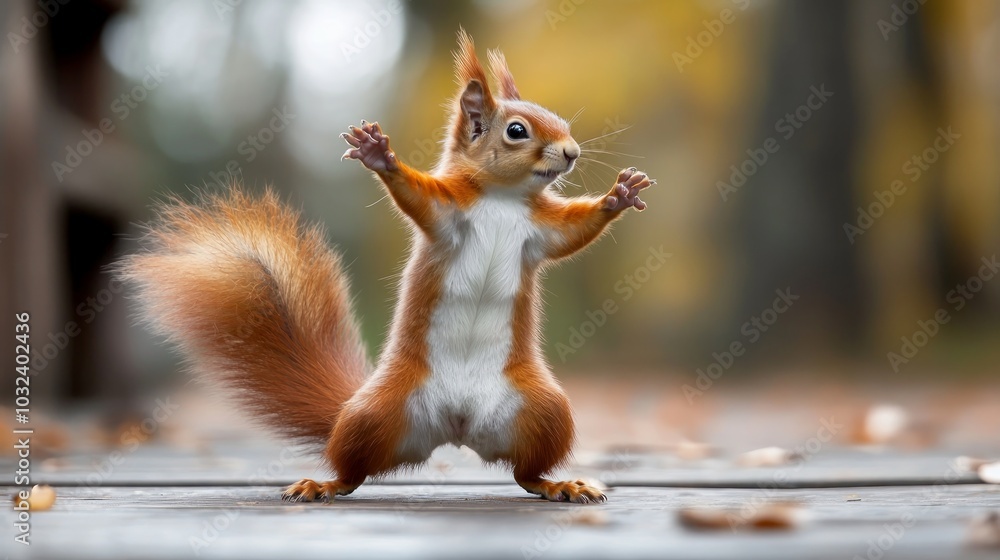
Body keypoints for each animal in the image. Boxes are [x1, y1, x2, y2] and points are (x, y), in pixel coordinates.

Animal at [117, 29, 654, 504]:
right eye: (517, 130)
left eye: (559, 120)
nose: (571, 152)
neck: (502, 199)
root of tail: (458, 427)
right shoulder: (447, 212)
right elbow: (417, 196)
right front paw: (381, 156)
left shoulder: (539, 230)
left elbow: (573, 232)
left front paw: (618, 196)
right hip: (375, 414)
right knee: (353, 468)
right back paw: (324, 484)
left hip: (542, 411)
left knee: (526, 472)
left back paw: (559, 484)